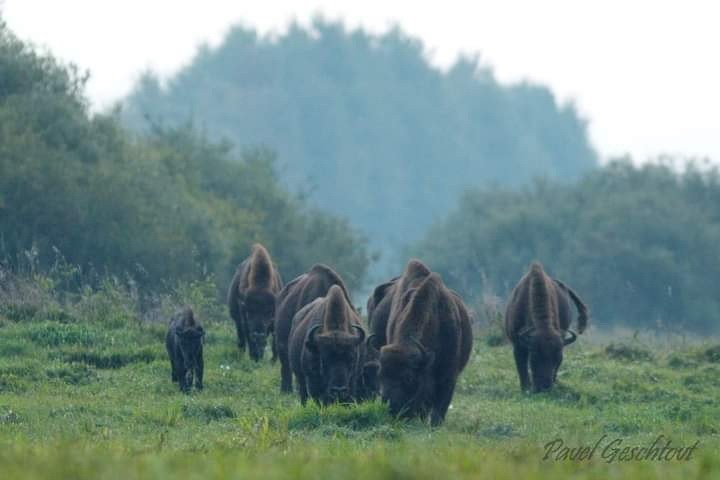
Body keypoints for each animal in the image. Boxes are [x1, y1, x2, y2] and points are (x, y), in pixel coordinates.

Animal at [504, 262, 588, 394]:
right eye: (535, 355)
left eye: (558, 357)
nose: (545, 386)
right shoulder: (518, 345)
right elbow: (522, 367)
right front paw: (525, 388)